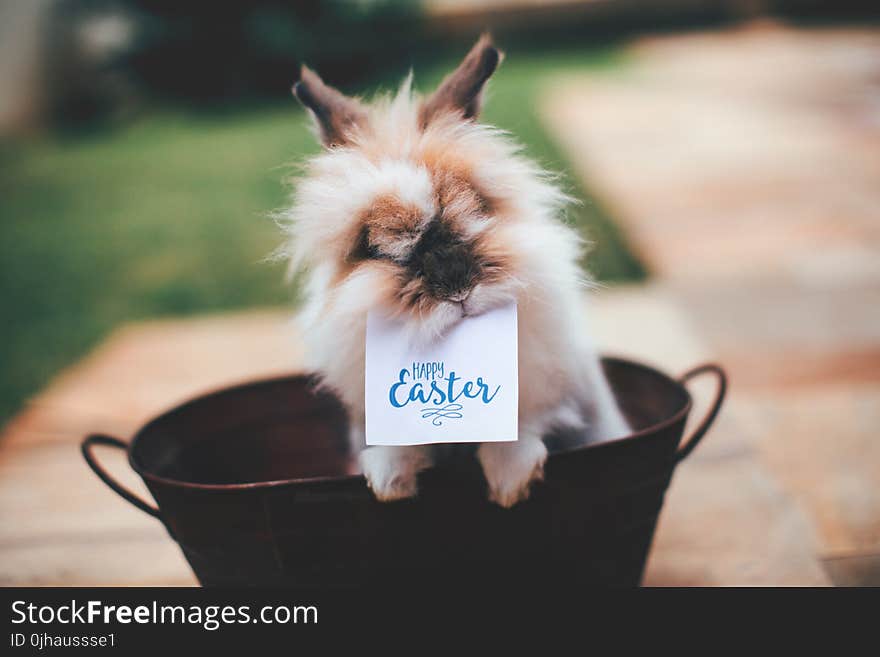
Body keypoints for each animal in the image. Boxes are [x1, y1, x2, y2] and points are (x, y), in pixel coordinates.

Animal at [278, 34, 628, 508]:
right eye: (374, 247)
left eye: (477, 206)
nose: (456, 286)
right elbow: (398, 442)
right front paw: (388, 483)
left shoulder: (555, 386)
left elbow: (525, 421)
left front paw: (511, 483)